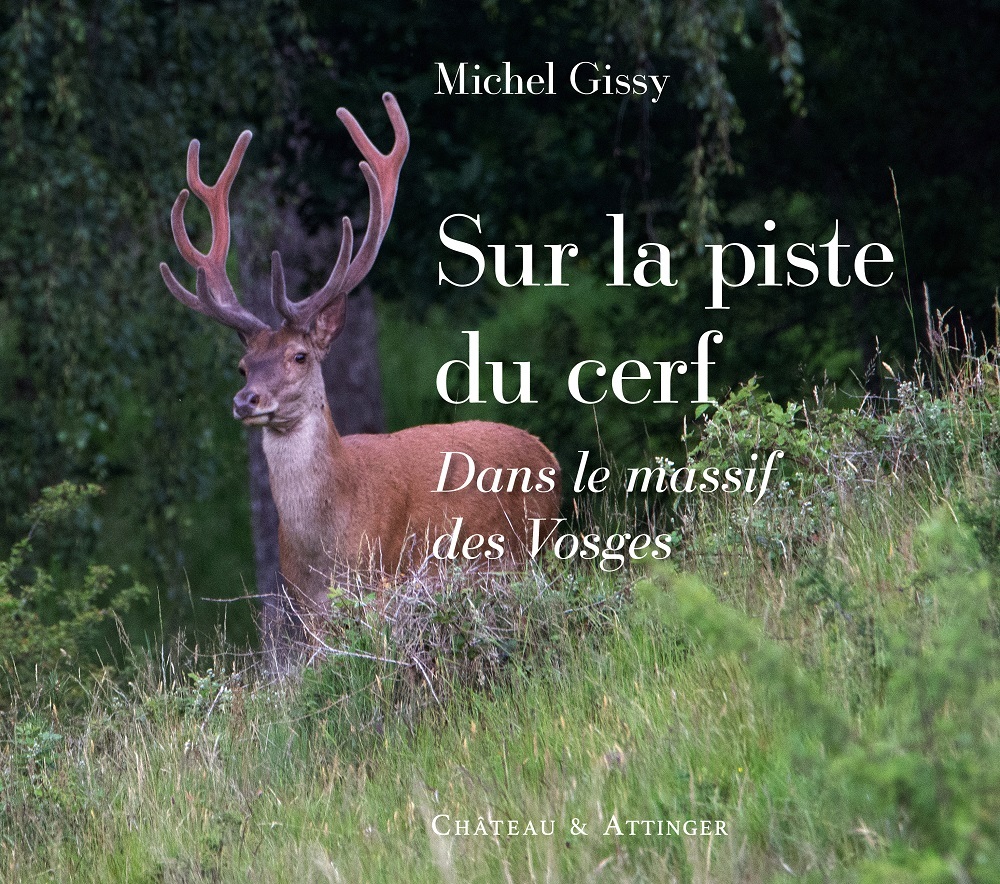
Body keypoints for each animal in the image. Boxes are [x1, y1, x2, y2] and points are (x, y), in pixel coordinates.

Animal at [159, 93, 562, 640]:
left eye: (299, 356)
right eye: (243, 366)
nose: (247, 400)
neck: (327, 546)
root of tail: (549, 456)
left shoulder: (382, 576)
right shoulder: (304, 609)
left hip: (529, 554)